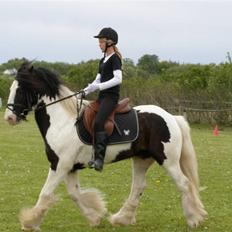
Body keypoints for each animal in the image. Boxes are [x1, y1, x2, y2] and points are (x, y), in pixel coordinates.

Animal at [4, 61, 207, 230]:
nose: (9, 118)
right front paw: (95, 217)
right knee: (138, 187)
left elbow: (46, 193)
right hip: (141, 159)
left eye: (20, 89)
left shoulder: (60, 165)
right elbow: (74, 193)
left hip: (168, 160)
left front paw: (29, 222)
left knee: (184, 184)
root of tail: (171, 117)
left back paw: (193, 219)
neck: (63, 122)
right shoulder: (69, 167)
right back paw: (121, 219)